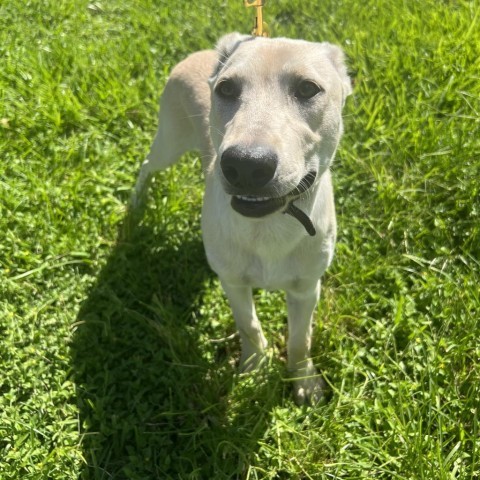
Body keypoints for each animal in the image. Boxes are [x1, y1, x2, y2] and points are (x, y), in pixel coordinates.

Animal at [133, 31, 350, 404]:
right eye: (227, 89)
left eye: (308, 88)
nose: (246, 164)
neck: (269, 226)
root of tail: (200, 53)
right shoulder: (232, 281)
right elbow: (248, 325)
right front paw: (253, 367)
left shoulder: (308, 288)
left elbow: (300, 339)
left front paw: (304, 380)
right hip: (169, 141)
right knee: (147, 165)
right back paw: (136, 203)